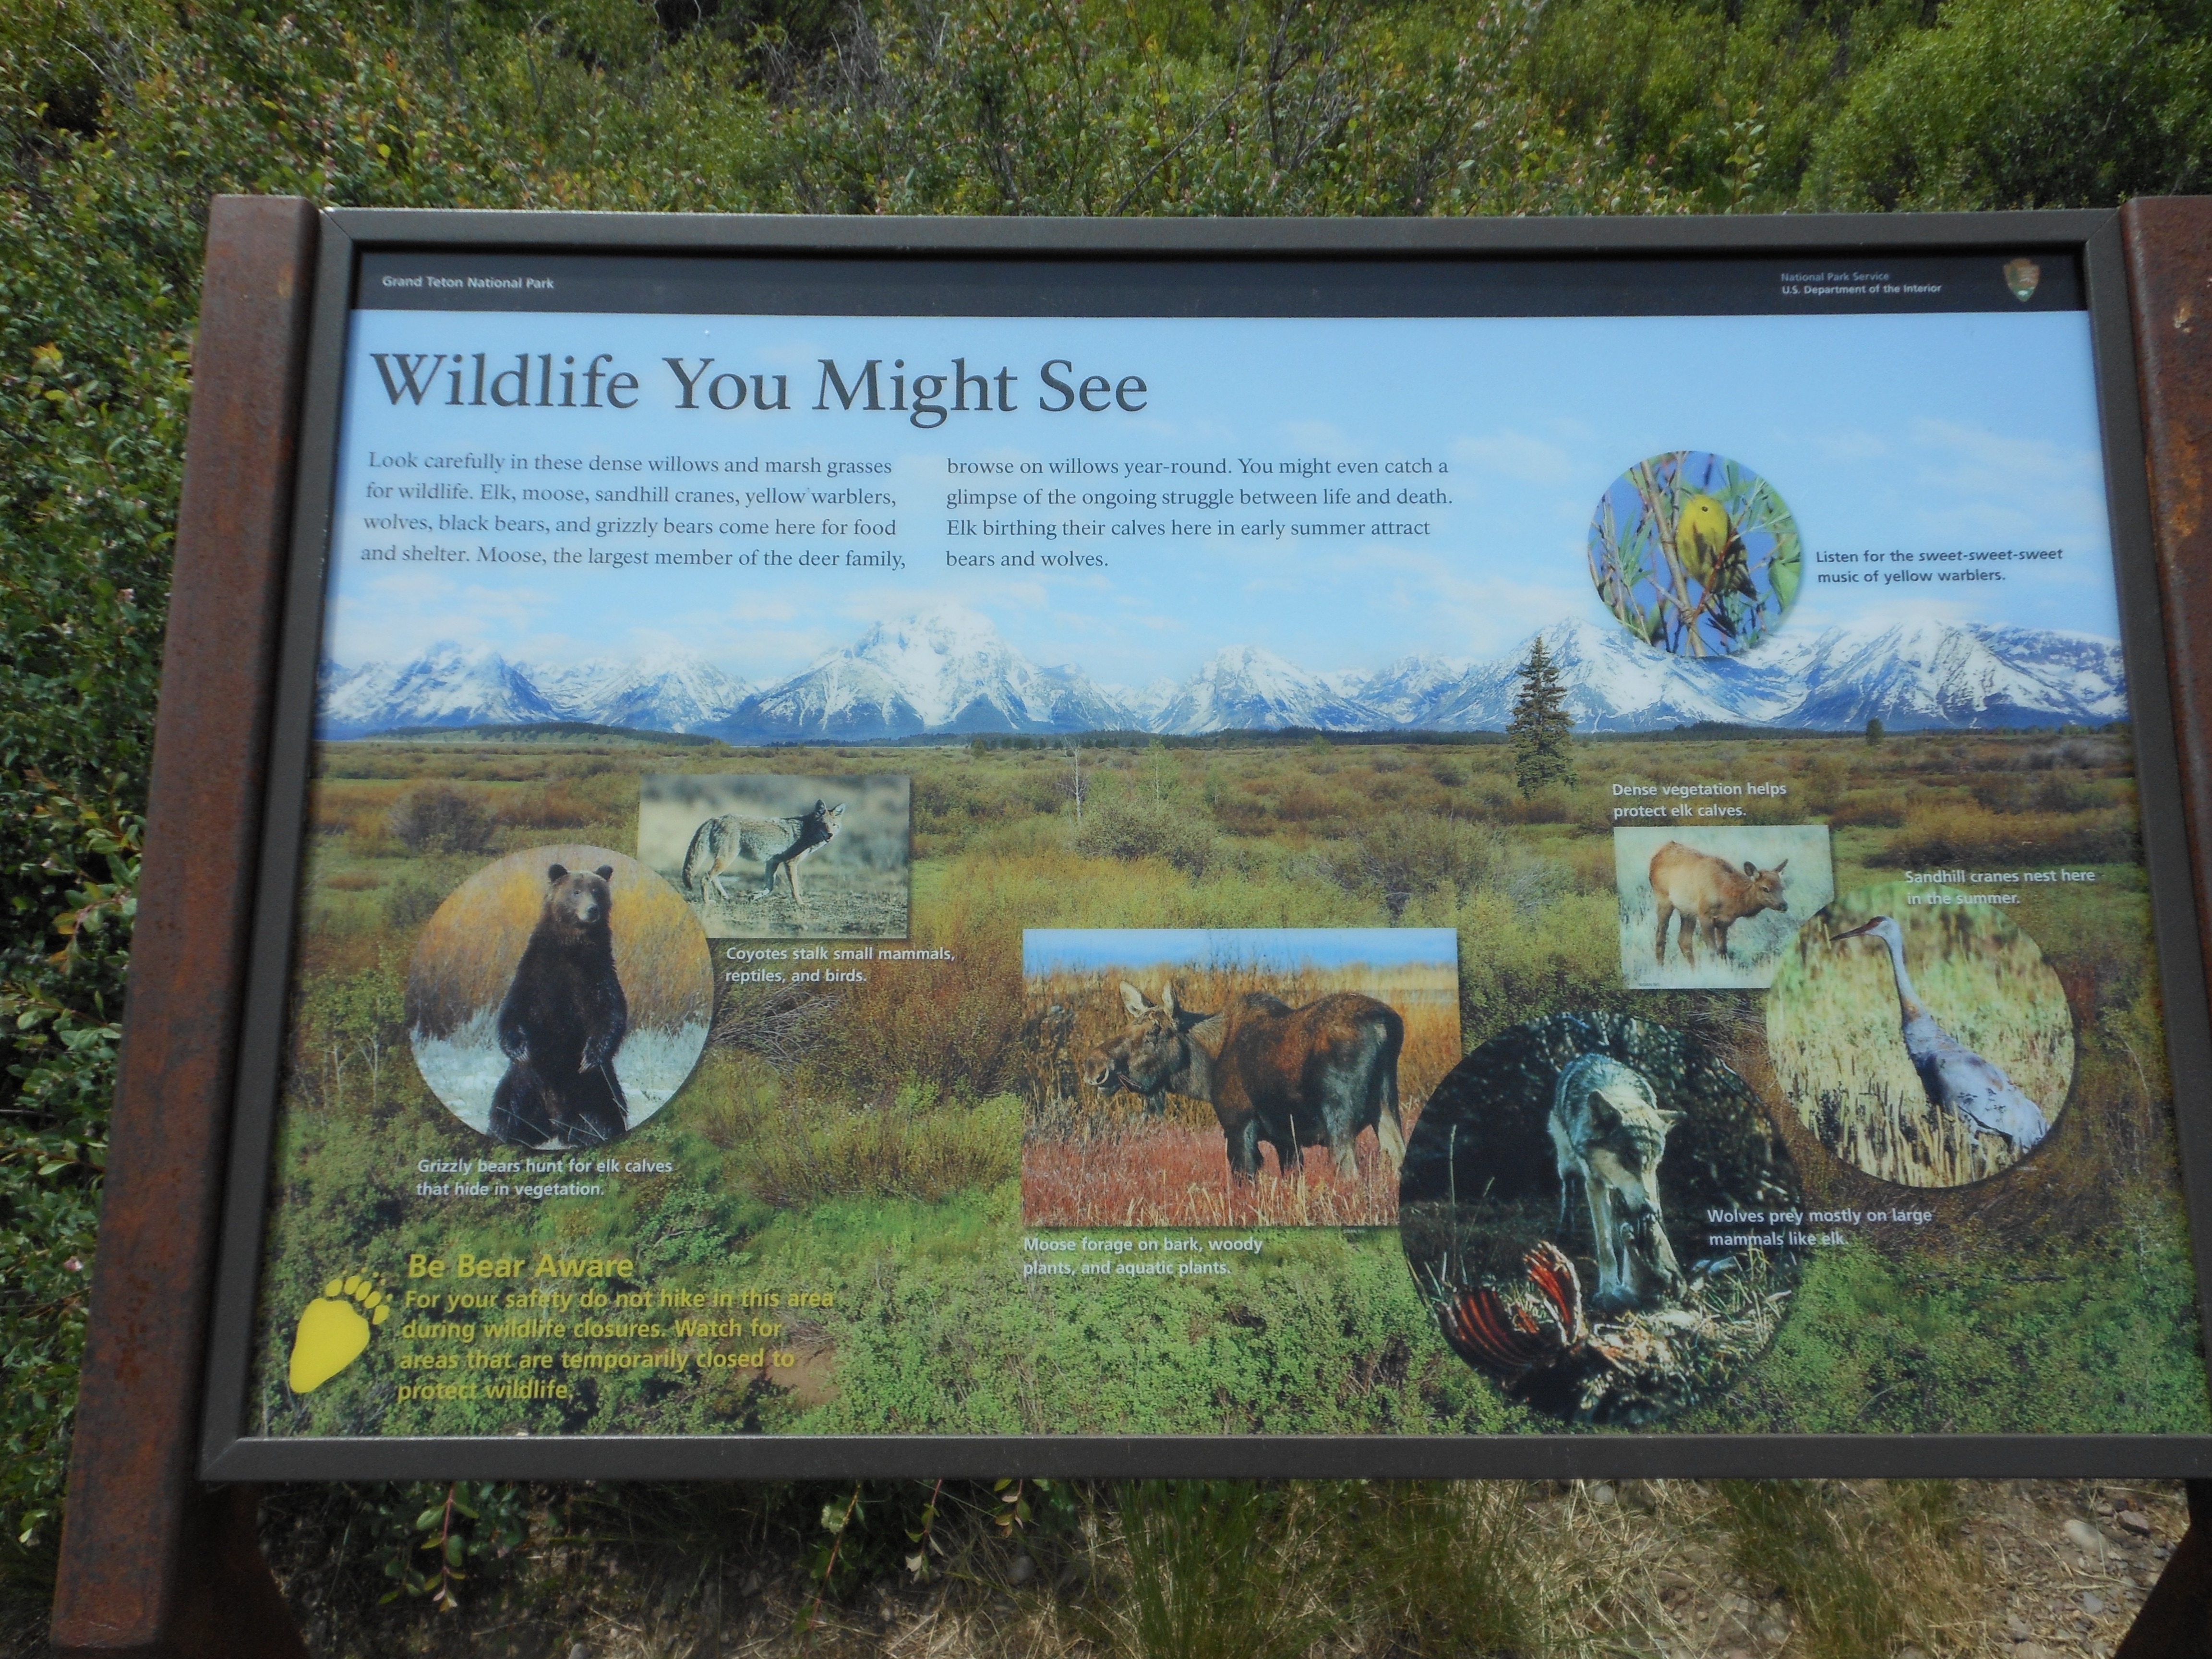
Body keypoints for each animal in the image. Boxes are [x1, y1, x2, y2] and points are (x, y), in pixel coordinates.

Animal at [681, 799, 844, 906]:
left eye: (834, 825)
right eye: (824, 825)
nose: (830, 835)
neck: (807, 831)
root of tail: (715, 819)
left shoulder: (773, 862)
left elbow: (769, 887)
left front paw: (754, 896)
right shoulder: (790, 864)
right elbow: (795, 888)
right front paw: (801, 904)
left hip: (723, 860)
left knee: (712, 877)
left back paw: (725, 896)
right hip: (727, 860)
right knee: (705, 878)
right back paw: (707, 902)